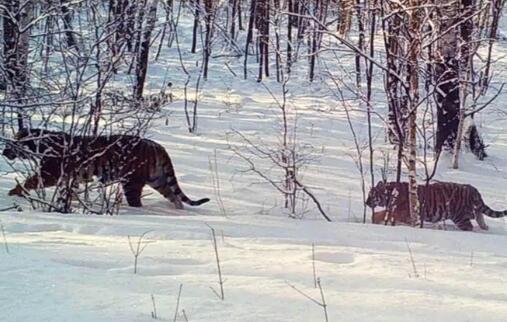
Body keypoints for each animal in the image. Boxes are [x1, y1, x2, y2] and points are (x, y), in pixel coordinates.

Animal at [2, 128, 210, 209]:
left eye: (13, 143)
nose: (4, 151)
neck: (40, 145)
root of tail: (157, 146)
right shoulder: (69, 178)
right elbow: (68, 190)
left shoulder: (49, 174)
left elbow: (30, 181)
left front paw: (14, 192)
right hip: (157, 179)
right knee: (175, 197)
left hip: (132, 182)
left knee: (137, 202)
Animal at [368, 181, 506, 231]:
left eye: (371, 195)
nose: (366, 202)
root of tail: (473, 189)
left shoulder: (402, 213)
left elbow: (385, 213)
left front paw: (374, 219)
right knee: (479, 215)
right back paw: (485, 227)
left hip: (460, 217)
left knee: (470, 226)